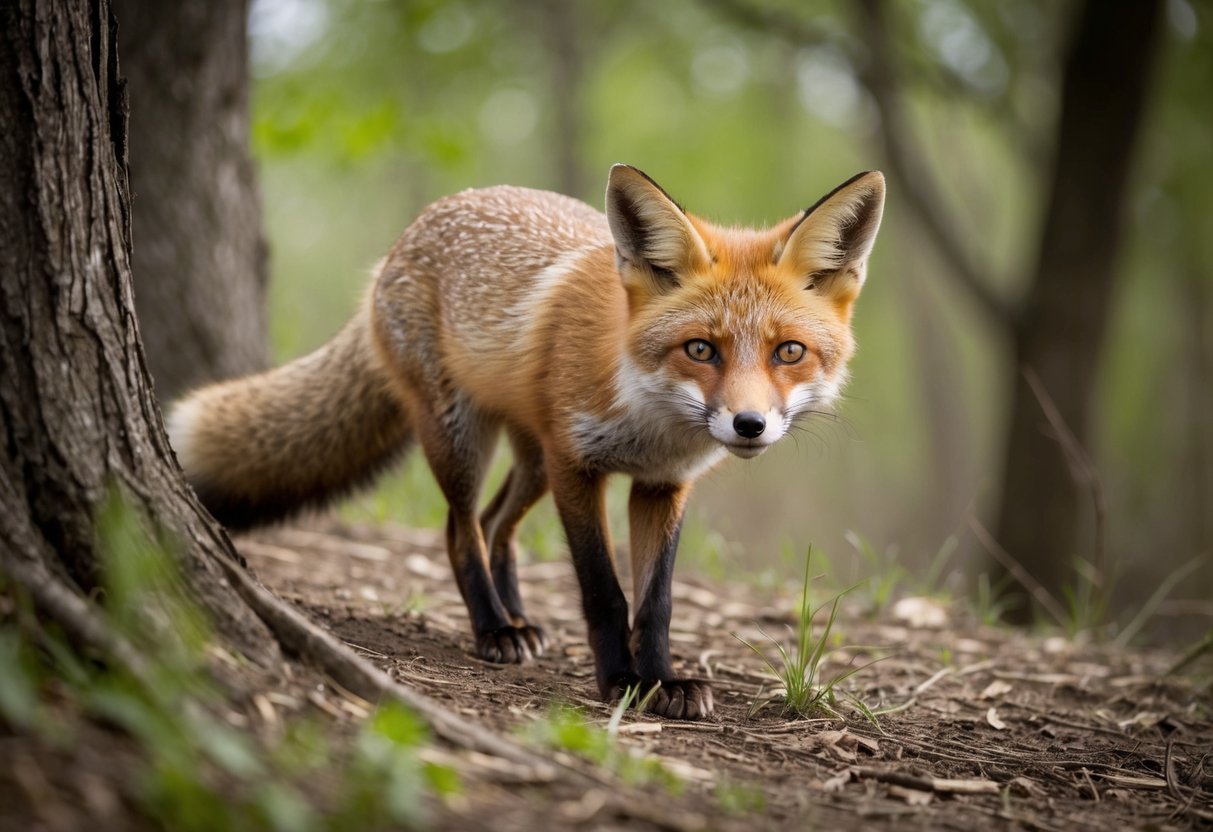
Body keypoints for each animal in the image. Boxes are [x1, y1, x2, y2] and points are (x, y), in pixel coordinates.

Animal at [168, 164, 884, 720]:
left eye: (788, 352)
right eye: (700, 349)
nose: (749, 425)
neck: (648, 420)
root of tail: (407, 235)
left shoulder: (661, 485)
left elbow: (656, 601)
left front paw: (661, 681)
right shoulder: (577, 465)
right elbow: (604, 590)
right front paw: (620, 681)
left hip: (532, 460)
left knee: (496, 526)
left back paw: (518, 618)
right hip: (462, 436)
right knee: (461, 530)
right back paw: (494, 629)